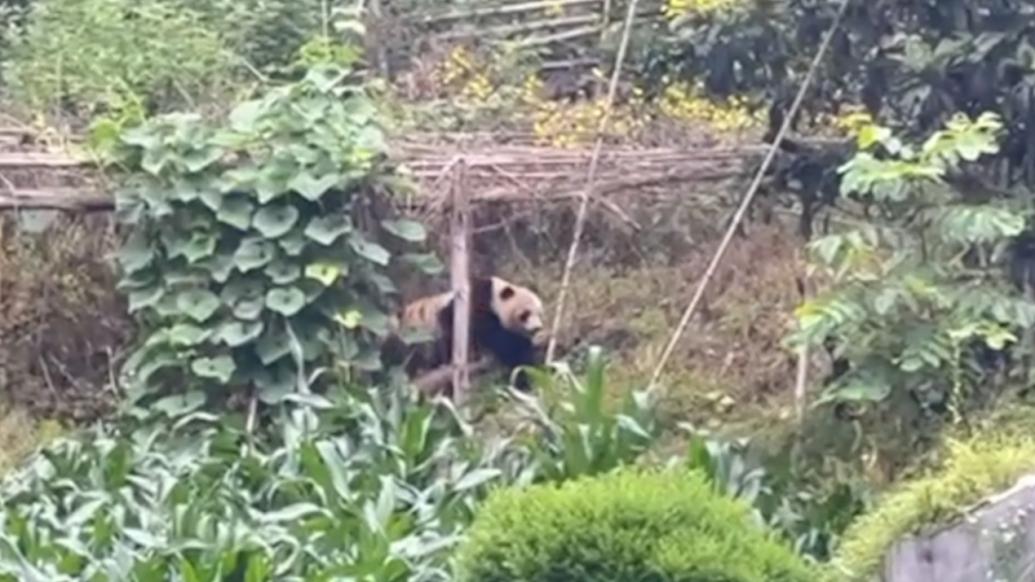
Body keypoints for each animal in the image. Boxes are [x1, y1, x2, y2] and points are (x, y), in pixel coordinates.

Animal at [382, 273, 550, 391]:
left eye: (540, 314)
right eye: (525, 314)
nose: (537, 328)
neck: (494, 295)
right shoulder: (474, 301)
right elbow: (494, 335)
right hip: (410, 336)